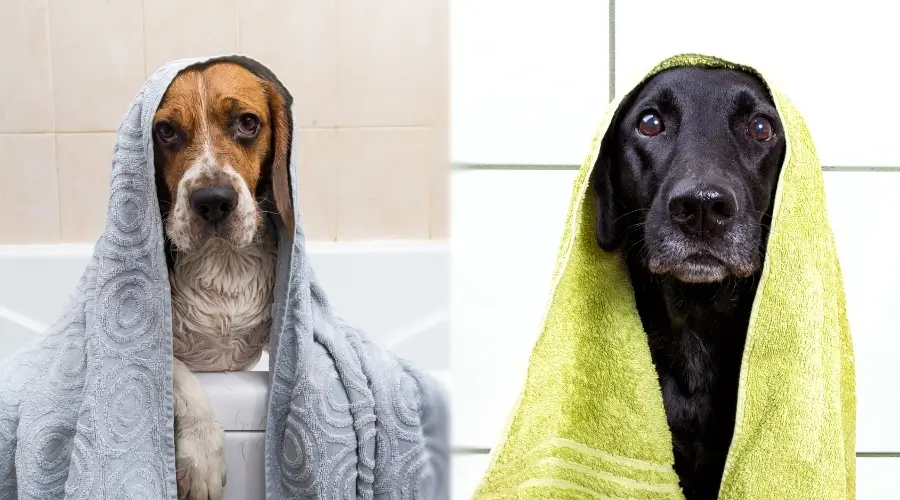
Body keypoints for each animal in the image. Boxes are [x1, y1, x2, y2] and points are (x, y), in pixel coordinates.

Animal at [153, 59, 294, 500]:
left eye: (247, 123)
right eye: (166, 131)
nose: (213, 201)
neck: (223, 263)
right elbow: (183, 379)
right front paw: (202, 458)